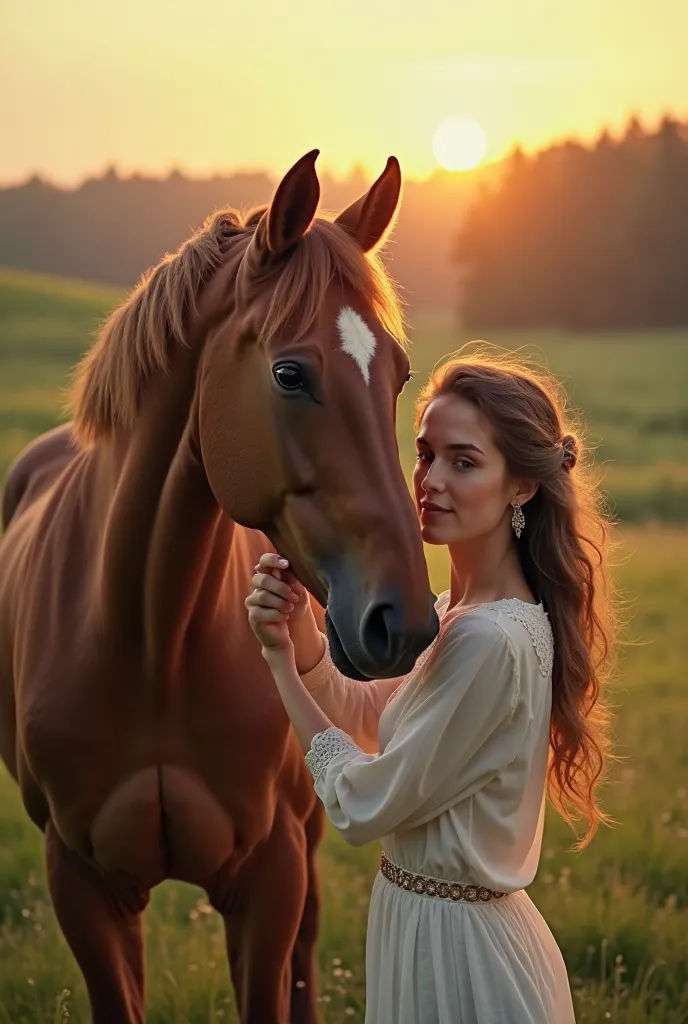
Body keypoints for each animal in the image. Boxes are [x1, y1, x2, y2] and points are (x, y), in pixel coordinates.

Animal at [0, 151, 438, 1024]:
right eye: (290, 373)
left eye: (399, 374)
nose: (402, 620)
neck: (149, 638)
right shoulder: (81, 883)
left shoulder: (270, 873)